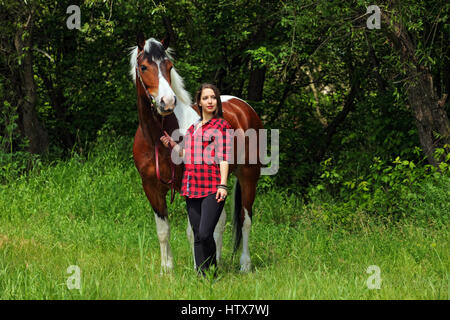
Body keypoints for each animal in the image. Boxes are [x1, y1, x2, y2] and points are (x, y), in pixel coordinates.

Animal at [129, 33, 264, 274]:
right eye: (144, 67)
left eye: (169, 66)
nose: (167, 102)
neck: (157, 139)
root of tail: (244, 108)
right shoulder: (151, 188)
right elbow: (163, 231)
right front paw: (166, 270)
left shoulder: (188, 187)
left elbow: (193, 231)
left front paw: (197, 267)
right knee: (219, 222)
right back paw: (216, 260)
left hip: (249, 175)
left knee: (245, 219)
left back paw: (244, 265)